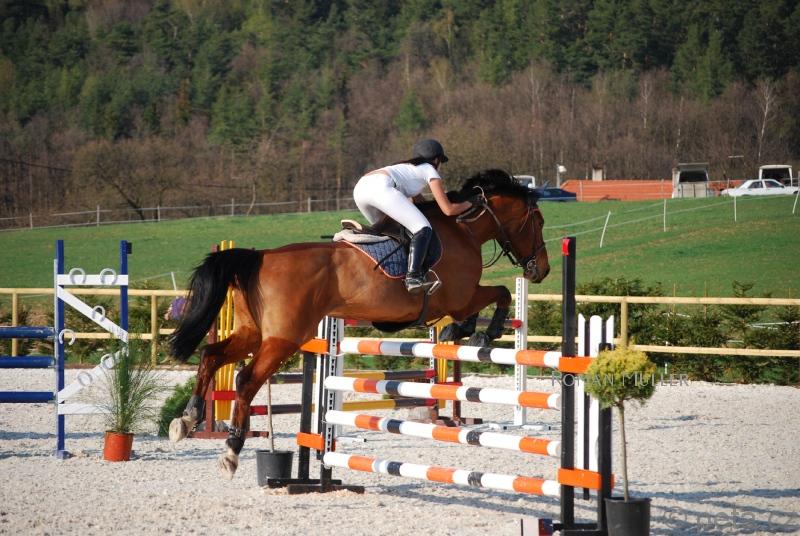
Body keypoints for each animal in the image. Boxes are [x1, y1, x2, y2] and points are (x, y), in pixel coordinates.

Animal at [168, 169, 550, 478]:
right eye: (539, 222)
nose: (541, 270)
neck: (462, 231)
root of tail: (260, 256)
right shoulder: (460, 297)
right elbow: (500, 293)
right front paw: (482, 333)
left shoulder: (459, 300)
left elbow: (485, 303)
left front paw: (460, 331)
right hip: (283, 339)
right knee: (246, 379)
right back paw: (231, 451)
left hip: (252, 333)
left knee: (211, 355)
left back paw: (186, 418)